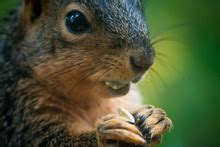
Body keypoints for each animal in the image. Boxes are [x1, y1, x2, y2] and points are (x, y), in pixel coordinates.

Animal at [0, 0, 172, 146]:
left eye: (139, 6)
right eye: (75, 20)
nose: (145, 60)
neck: (92, 101)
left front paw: (153, 117)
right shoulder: (20, 112)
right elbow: (49, 141)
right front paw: (105, 134)